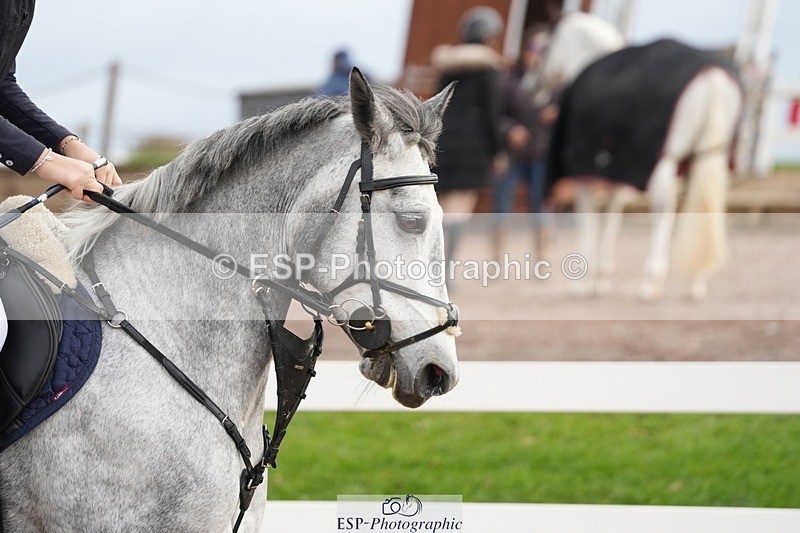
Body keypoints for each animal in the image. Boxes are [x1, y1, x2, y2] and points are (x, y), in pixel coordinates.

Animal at [540, 12, 743, 300]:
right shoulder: (615, 169)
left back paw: (651, 282)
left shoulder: (585, 172)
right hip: (707, 158)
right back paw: (696, 280)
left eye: (545, 46)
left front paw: (582, 283)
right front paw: (600, 278)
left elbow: (588, 220)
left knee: (663, 210)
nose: (532, 84)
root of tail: (711, 74)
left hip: (665, 162)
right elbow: (611, 217)